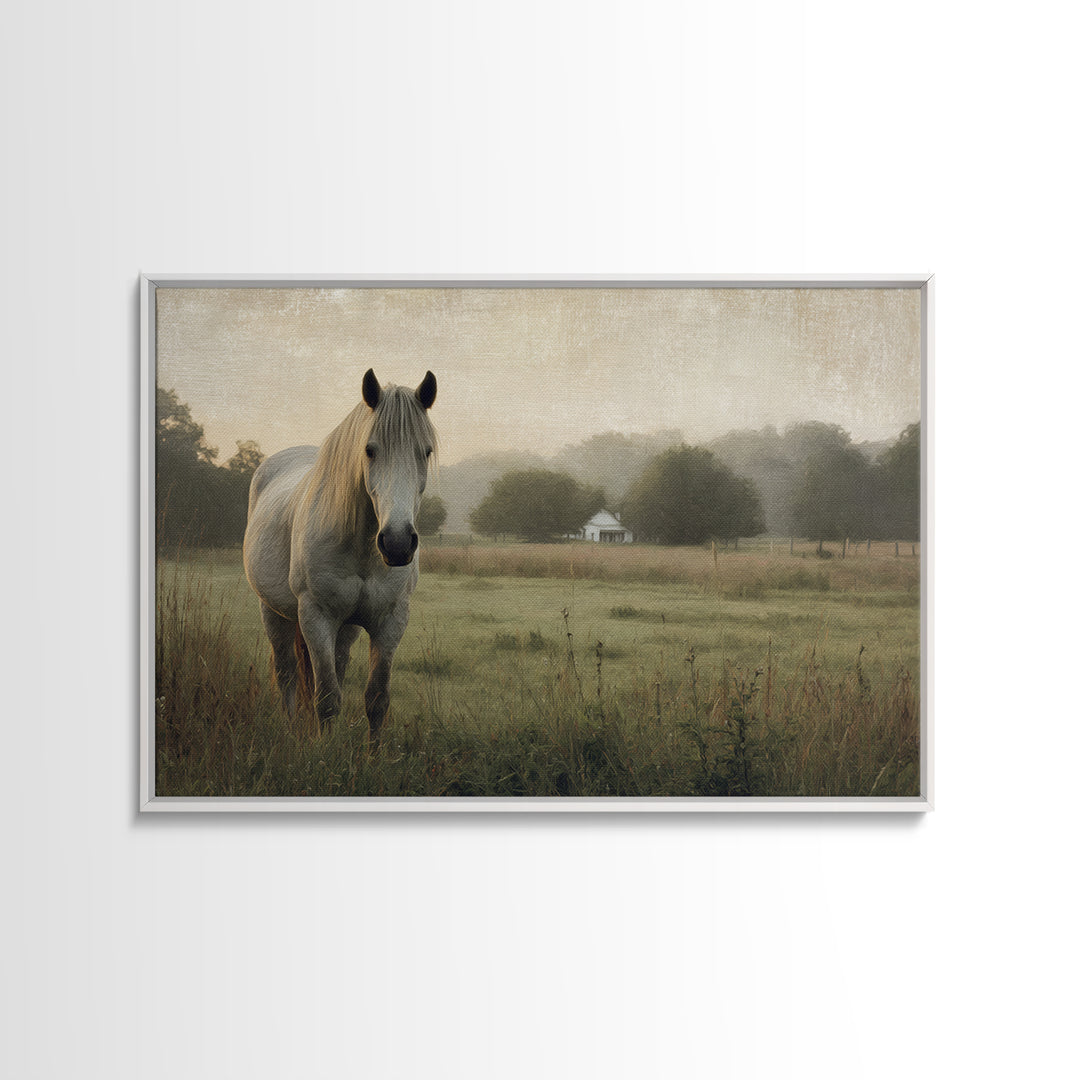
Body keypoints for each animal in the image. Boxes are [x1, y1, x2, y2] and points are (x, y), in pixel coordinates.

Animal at [242, 369, 438, 744]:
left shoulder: (390, 621)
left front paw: (373, 754)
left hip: (346, 628)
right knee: (287, 674)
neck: (362, 548)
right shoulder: (316, 617)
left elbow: (376, 698)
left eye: (426, 451)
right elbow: (327, 698)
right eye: (370, 450)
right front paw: (325, 751)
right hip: (273, 612)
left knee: (337, 665)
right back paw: (291, 731)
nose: (397, 543)